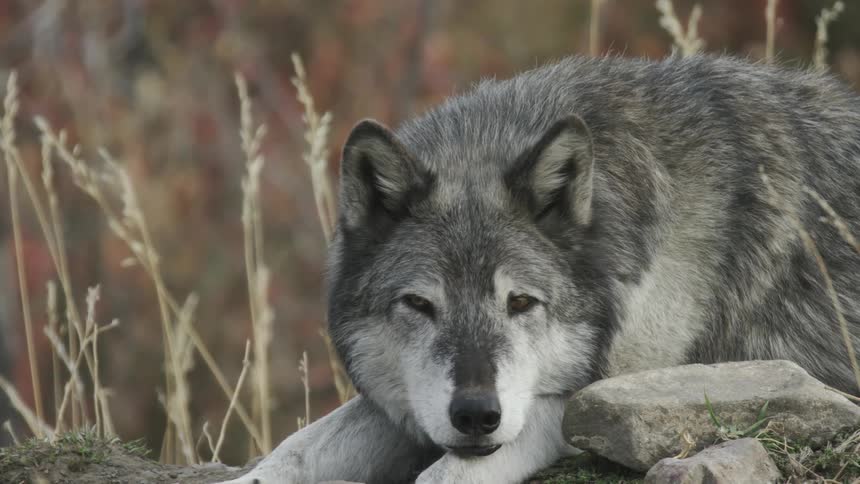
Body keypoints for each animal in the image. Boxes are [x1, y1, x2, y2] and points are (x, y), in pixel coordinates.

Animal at [225, 55, 860, 484]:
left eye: (521, 303)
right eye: (421, 305)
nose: (476, 415)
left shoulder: (615, 395)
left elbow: (448, 469)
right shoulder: (405, 406)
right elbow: (296, 448)